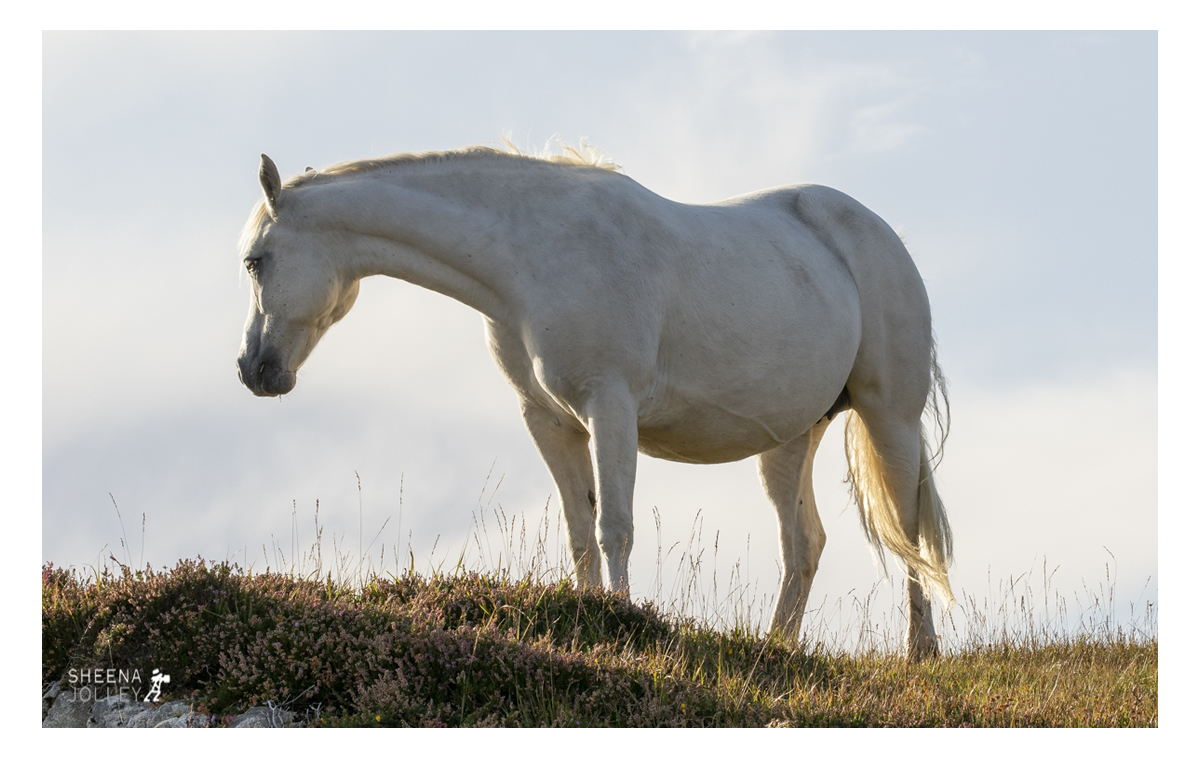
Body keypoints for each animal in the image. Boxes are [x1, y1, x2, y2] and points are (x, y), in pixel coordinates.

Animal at [233, 145, 954, 662]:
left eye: (254, 260)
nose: (253, 370)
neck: (534, 258)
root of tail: (876, 233)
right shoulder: (551, 422)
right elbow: (580, 532)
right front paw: (591, 624)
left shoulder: (611, 407)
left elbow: (615, 527)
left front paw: (625, 622)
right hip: (791, 438)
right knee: (804, 543)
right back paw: (777, 649)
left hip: (890, 419)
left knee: (908, 535)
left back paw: (920, 652)